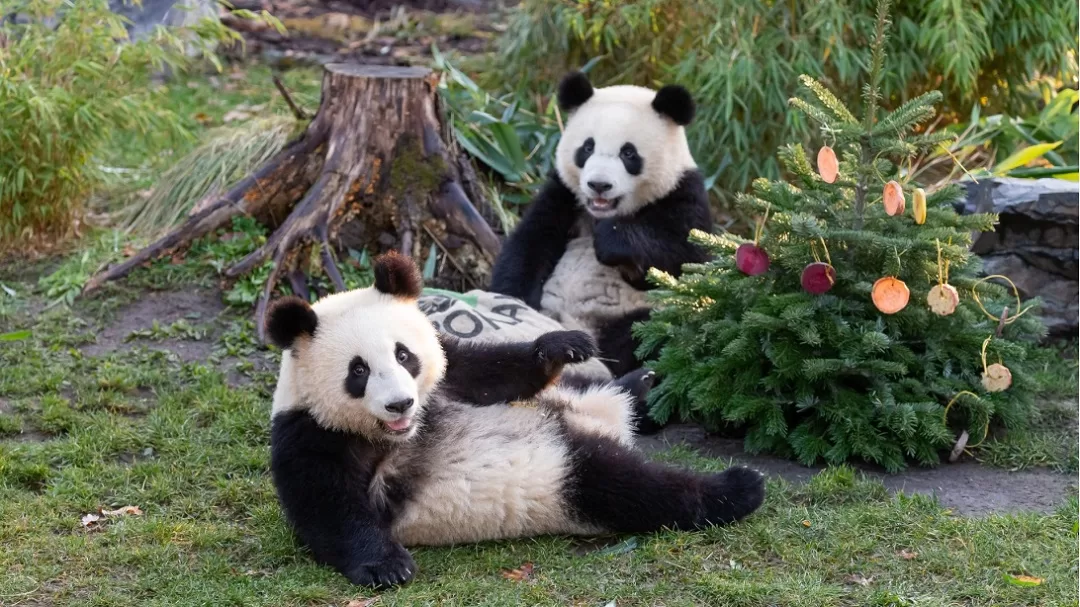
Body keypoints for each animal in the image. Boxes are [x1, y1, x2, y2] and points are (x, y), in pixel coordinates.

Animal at [267, 252, 765, 589]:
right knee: (636, 489)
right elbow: (329, 508)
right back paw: (738, 487)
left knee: (600, 394)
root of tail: (601, 423)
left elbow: (494, 371)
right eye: (359, 371)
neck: (401, 432)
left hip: (572, 403)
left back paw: (645, 385)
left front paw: (562, 345)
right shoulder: (309, 433)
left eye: (404, 355)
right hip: (565, 476)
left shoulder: (452, 375)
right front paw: (386, 565)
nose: (400, 405)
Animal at [489, 71, 713, 379]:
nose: (599, 185)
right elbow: (529, 246)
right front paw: (511, 303)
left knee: (651, 332)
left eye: (629, 154)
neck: (602, 213)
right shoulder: (563, 196)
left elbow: (690, 257)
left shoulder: (684, 194)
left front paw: (613, 241)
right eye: (587, 147)